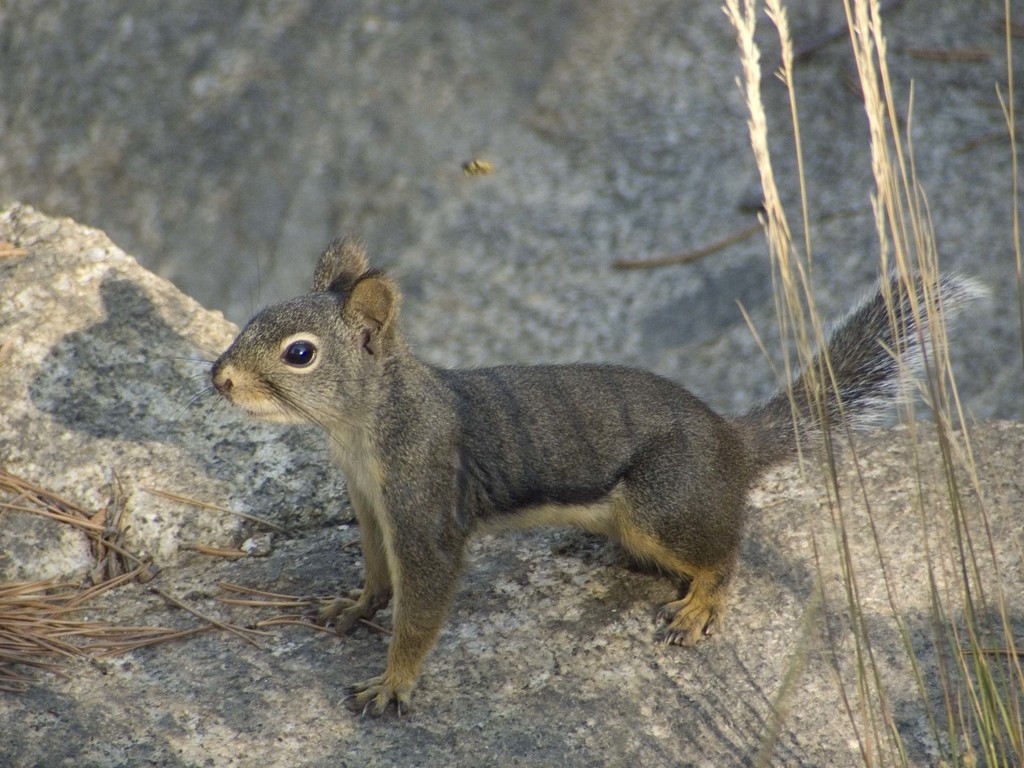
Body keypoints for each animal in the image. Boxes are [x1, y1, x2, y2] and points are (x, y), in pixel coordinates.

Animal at [209, 239, 974, 716]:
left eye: (299, 354)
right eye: (250, 318)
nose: (217, 378)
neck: (362, 428)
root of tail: (731, 442)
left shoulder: (425, 510)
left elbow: (420, 607)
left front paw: (393, 685)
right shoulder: (372, 507)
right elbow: (376, 572)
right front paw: (354, 605)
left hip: (663, 500)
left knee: (725, 552)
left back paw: (701, 603)